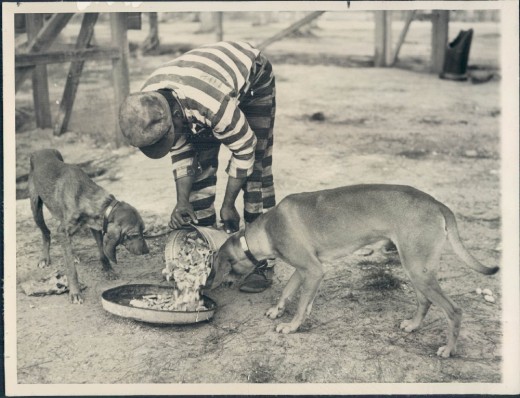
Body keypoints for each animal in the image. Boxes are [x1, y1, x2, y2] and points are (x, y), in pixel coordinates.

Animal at [29, 148, 148, 302]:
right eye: (133, 235)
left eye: (143, 231)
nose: (147, 251)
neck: (84, 195)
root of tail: (40, 150)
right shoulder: (63, 230)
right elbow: (71, 269)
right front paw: (75, 292)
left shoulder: (96, 227)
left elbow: (102, 253)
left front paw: (109, 271)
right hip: (36, 209)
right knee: (46, 232)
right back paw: (44, 258)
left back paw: (73, 254)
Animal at [210, 184, 500, 358]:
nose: (216, 284)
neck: (267, 230)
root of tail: (438, 203)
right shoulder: (305, 269)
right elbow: (289, 292)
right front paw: (277, 310)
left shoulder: (313, 270)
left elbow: (301, 304)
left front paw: (292, 326)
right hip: (416, 268)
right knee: (425, 301)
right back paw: (413, 325)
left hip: (419, 270)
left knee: (454, 311)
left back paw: (448, 349)